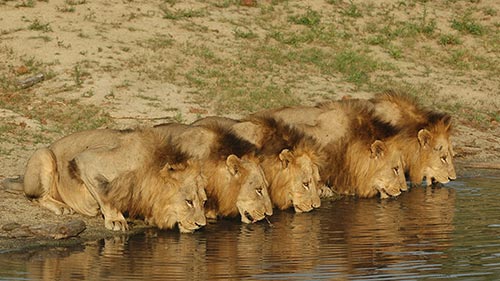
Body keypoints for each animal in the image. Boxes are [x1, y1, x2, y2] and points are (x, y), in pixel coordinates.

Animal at [20, 128, 207, 231]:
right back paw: (62, 207)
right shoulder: (86, 161)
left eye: (204, 201)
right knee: (36, 197)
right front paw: (116, 220)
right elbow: (106, 195)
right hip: (44, 154)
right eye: (189, 201)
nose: (202, 225)